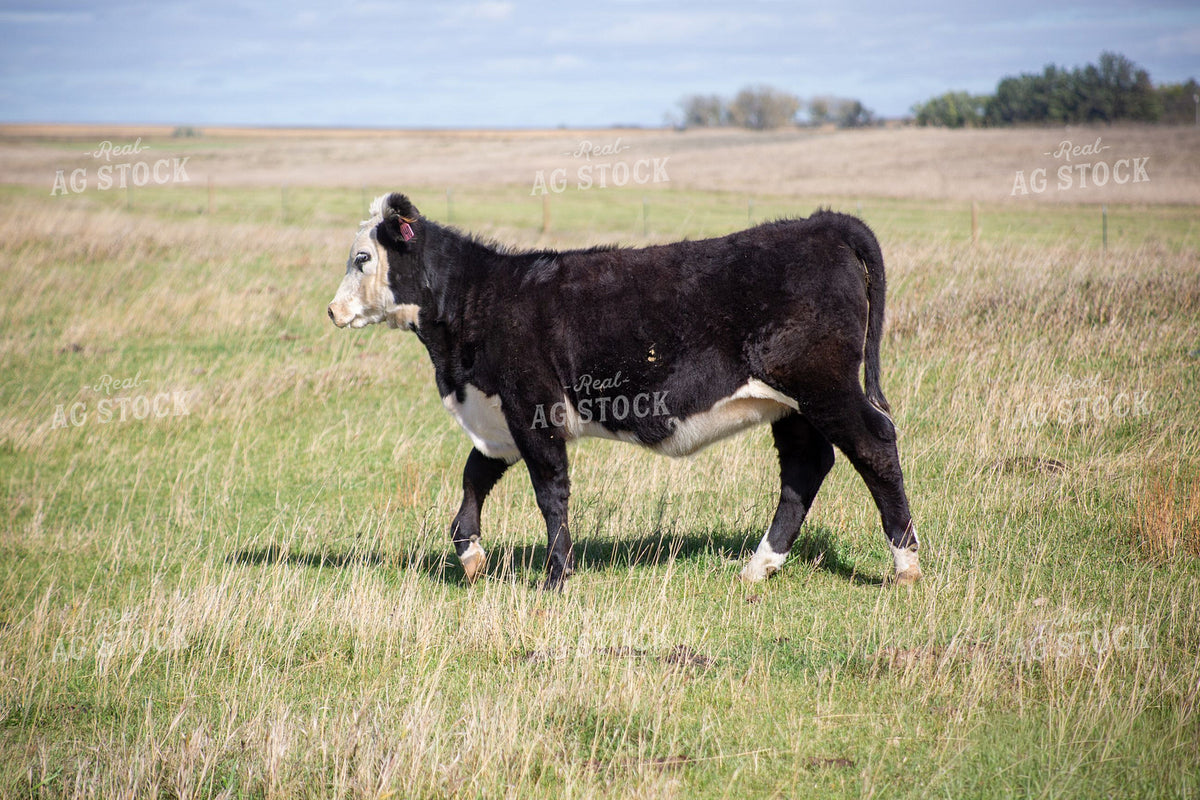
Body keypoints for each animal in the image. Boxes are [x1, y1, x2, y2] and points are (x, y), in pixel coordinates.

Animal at [327, 192, 921, 591]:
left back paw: (905, 563)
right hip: (792, 406)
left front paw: (555, 577)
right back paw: (760, 565)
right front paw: (471, 555)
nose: (332, 311)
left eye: (362, 258)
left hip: (826, 387)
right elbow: (475, 476)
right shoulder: (499, 417)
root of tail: (822, 224)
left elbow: (550, 493)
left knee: (874, 446)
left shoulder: (534, 410)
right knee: (805, 466)